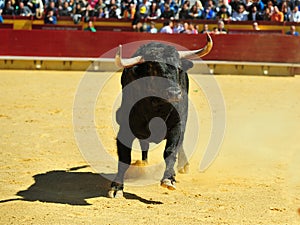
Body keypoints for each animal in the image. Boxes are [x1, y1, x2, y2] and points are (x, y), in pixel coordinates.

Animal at [108, 33, 213, 199]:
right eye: (153, 69)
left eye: (178, 68)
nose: (175, 93)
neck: (156, 108)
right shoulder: (124, 129)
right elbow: (124, 157)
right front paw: (117, 187)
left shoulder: (177, 125)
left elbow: (170, 151)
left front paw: (169, 179)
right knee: (144, 145)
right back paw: (143, 164)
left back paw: (183, 165)